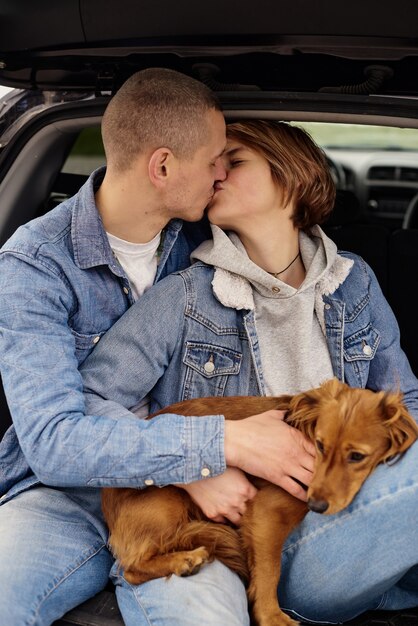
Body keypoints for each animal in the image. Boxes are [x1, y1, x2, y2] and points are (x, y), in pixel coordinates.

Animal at [102, 376, 418, 624]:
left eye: (357, 456)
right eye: (320, 445)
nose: (315, 506)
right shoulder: (268, 511)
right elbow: (270, 570)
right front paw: (272, 616)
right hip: (167, 502)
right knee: (130, 569)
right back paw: (185, 559)